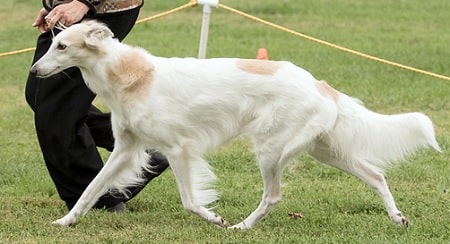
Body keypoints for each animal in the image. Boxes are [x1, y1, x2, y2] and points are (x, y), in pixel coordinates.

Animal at [30, 21, 440, 229]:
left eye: (62, 46)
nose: (34, 70)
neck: (130, 76)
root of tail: (319, 84)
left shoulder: (178, 148)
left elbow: (190, 201)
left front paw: (214, 217)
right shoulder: (126, 148)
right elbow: (90, 189)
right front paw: (65, 221)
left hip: (271, 149)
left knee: (273, 196)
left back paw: (241, 227)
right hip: (324, 149)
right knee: (376, 175)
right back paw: (398, 218)